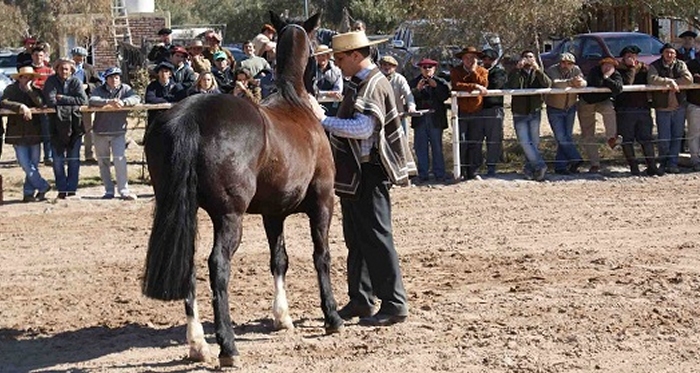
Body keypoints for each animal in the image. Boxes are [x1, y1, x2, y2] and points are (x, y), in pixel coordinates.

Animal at [142, 11, 342, 366]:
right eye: (319, 40)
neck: (295, 103)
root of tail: (190, 116)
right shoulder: (322, 202)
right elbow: (322, 255)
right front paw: (331, 317)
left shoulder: (273, 214)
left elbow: (279, 260)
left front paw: (282, 317)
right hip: (229, 217)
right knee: (217, 266)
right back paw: (228, 347)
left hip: (182, 211)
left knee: (189, 266)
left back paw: (198, 345)